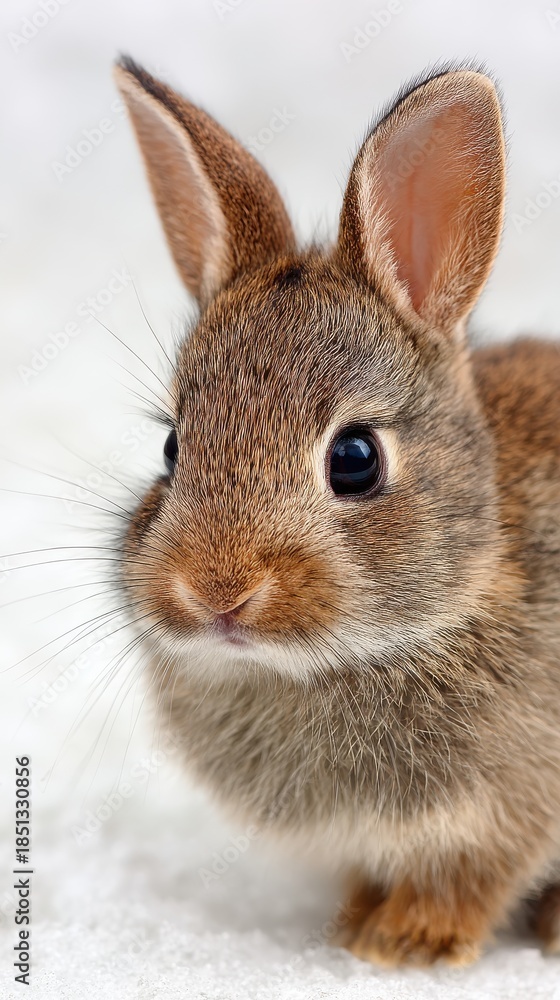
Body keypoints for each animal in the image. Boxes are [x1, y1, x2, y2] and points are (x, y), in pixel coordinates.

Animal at [113, 56, 560, 967]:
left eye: (355, 459)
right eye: (173, 446)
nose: (215, 591)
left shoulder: (514, 808)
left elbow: (477, 878)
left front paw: (409, 943)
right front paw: (357, 922)